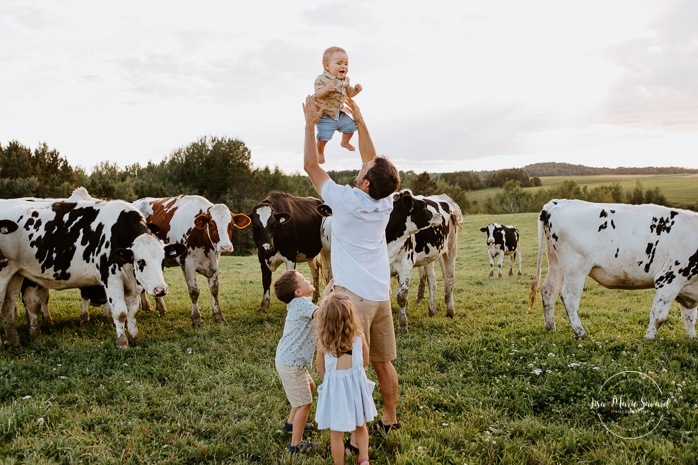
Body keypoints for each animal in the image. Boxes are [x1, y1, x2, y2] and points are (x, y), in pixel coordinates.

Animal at [133, 194, 250, 324]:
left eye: (231, 224)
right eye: (211, 224)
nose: (226, 247)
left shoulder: (214, 264)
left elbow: (215, 289)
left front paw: (219, 316)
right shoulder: (187, 264)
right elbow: (194, 291)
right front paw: (196, 319)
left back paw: (160, 308)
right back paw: (147, 306)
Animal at [388, 194, 460, 332]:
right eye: (424, 207)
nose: (438, 215)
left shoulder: (406, 264)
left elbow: (402, 296)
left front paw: (403, 325)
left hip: (451, 249)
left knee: (450, 279)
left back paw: (450, 311)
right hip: (429, 257)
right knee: (432, 281)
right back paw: (432, 310)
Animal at [528, 198, 696, 338]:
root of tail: (556, 203)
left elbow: (690, 317)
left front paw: (691, 338)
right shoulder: (669, 280)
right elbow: (658, 316)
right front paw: (649, 338)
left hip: (556, 263)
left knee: (549, 290)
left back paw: (551, 328)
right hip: (575, 269)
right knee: (569, 297)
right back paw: (580, 333)